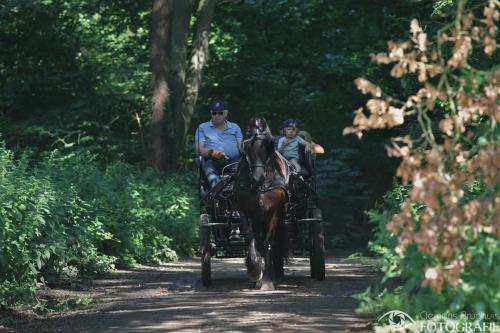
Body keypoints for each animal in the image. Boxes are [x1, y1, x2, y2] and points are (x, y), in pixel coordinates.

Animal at [234, 118, 290, 290]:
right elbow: (250, 236)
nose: (257, 177)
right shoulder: (245, 210)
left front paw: (266, 279)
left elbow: (267, 241)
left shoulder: (274, 212)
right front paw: (254, 270)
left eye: (269, 145)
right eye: (246, 147)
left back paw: (275, 273)